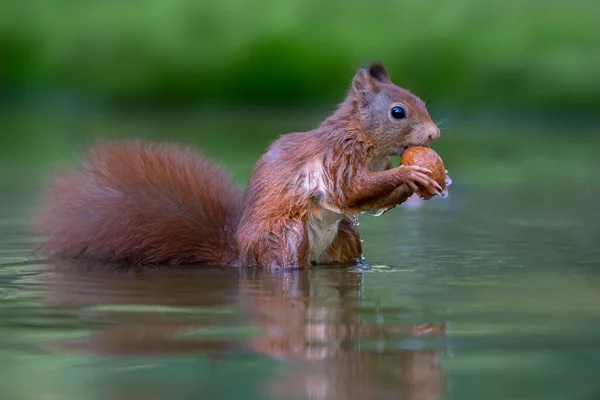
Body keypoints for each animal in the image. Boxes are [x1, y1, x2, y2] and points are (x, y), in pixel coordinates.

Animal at [37, 62, 448, 268]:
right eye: (398, 112)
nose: (435, 134)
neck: (359, 134)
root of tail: (240, 254)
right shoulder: (337, 156)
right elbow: (350, 190)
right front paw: (409, 173)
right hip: (286, 239)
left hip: (345, 239)